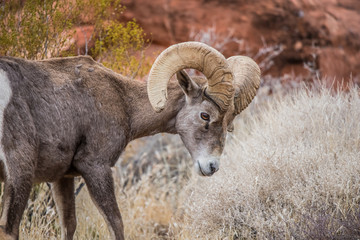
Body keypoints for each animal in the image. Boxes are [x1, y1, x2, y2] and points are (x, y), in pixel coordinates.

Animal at [0, 42, 260, 239]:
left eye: (229, 124)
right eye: (205, 115)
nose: (212, 167)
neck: (124, 103)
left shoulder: (62, 178)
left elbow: (69, 226)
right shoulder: (96, 167)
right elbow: (116, 223)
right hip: (20, 173)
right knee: (9, 229)